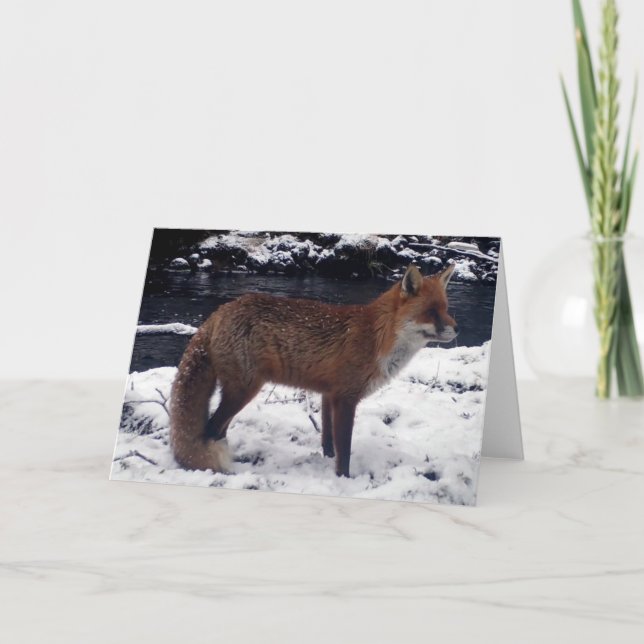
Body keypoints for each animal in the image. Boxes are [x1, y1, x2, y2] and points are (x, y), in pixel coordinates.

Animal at [169, 263, 458, 478]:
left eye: (446, 309)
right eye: (431, 312)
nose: (457, 330)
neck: (377, 337)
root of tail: (219, 311)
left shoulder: (329, 394)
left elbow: (328, 441)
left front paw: (328, 463)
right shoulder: (346, 398)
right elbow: (345, 449)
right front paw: (344, 479)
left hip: (237, 394)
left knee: (219, 431)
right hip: (242, 391)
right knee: (210, 430)